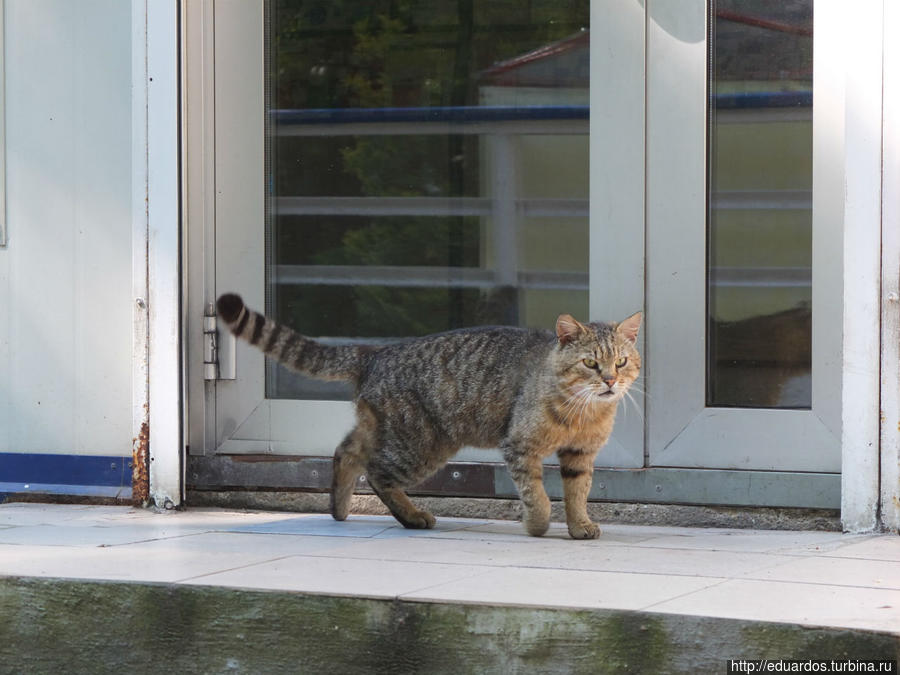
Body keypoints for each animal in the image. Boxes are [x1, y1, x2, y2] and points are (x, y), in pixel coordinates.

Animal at [216, 294, 640, 540]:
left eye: (620, 361)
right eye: (590, 363)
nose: (610, 380)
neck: (584, 411)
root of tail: (376, 352)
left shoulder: (580, 455)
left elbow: (577, 493)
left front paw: (580, 525)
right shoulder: (520, 447)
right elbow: (536, 494)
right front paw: (537, 525)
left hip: (389, 429)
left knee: (346, 451)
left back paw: (339, 508)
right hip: (421, 444)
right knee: (376, 472)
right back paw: (413, 516)